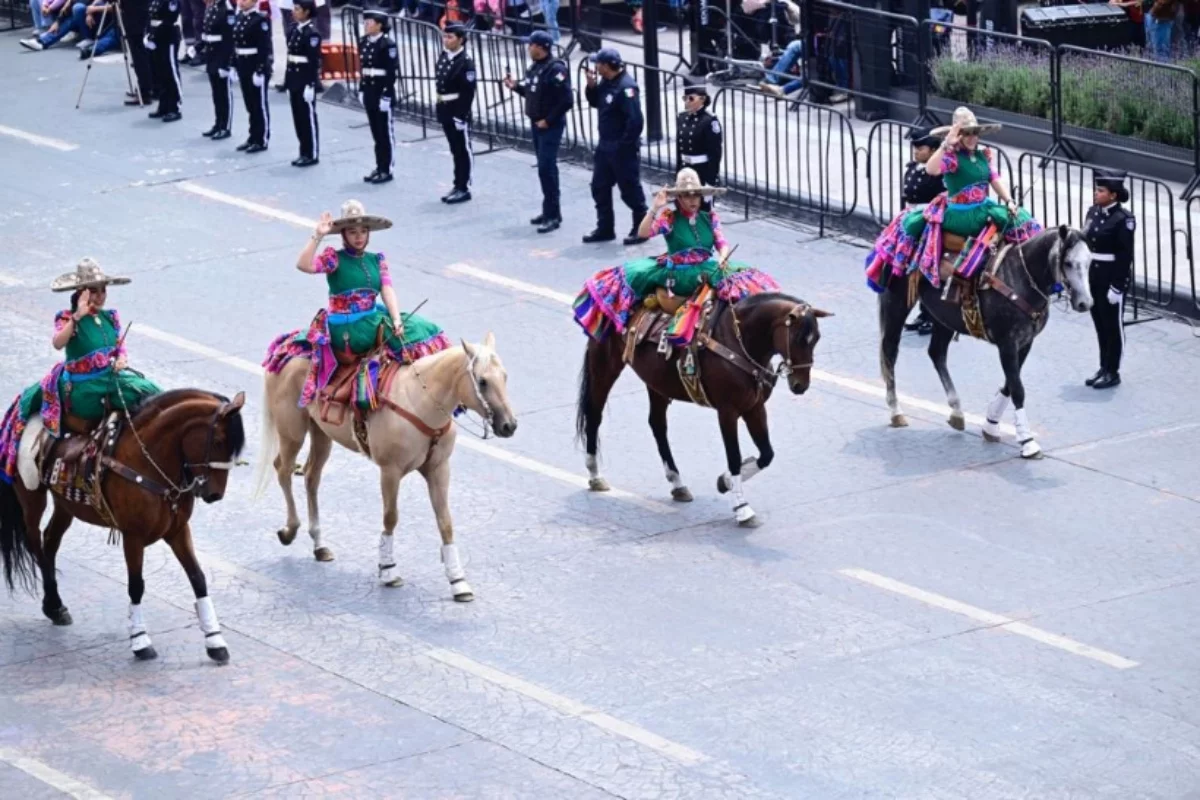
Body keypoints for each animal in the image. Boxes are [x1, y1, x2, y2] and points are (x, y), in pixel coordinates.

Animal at [0, 388, 246, 662]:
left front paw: (215, 640)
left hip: (66, 506)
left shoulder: (178, 531)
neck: (150, 462)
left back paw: (55, 606)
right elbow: (136, 586)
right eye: (218, 442)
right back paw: (53, 602)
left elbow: (198, 578)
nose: (215, 495)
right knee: (36, 544)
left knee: (50, 541)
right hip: (31, 498)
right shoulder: (133, 536)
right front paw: (140, 640)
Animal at [253, 331, 516, 599]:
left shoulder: (439, 469)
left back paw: (319, 544)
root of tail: (286, 349)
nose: (509, 425)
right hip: (292, 432)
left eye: (505, 376)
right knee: (283, 470)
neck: (419, 402)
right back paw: (290, 529)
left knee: (311, 476)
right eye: (482, 381)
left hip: (321, 433)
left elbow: (445, 522)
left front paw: (458, 580)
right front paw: (388, 570)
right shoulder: (390, 471)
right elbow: (390, 517)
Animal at [576, 291, 830, 527]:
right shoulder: (727, 411)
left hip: (656, 382)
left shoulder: (755, 408)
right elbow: (734, 457)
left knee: (657, 425)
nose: (800, 385)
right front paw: (742, 507)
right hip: (604, 366)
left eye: (816, 338)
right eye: (797, 338)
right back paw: (595, 474)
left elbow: (766, 454)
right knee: (595, 414)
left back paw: (677, 482)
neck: (738, 341)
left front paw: (725, 481)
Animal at [878, 225, 1094, 460]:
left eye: (1090, 261)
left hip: (944, 317)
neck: (1022, 279)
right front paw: (1027, 440)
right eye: (1068, 263)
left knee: (936, 353)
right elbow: (1017, 388)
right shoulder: (1007, 344)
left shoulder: (1025, 343)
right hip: (897, 303)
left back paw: (956, 411)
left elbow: (1010, 384)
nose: (1085, 303)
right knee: (890, 351)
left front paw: (991, 423)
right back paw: (896, 410)